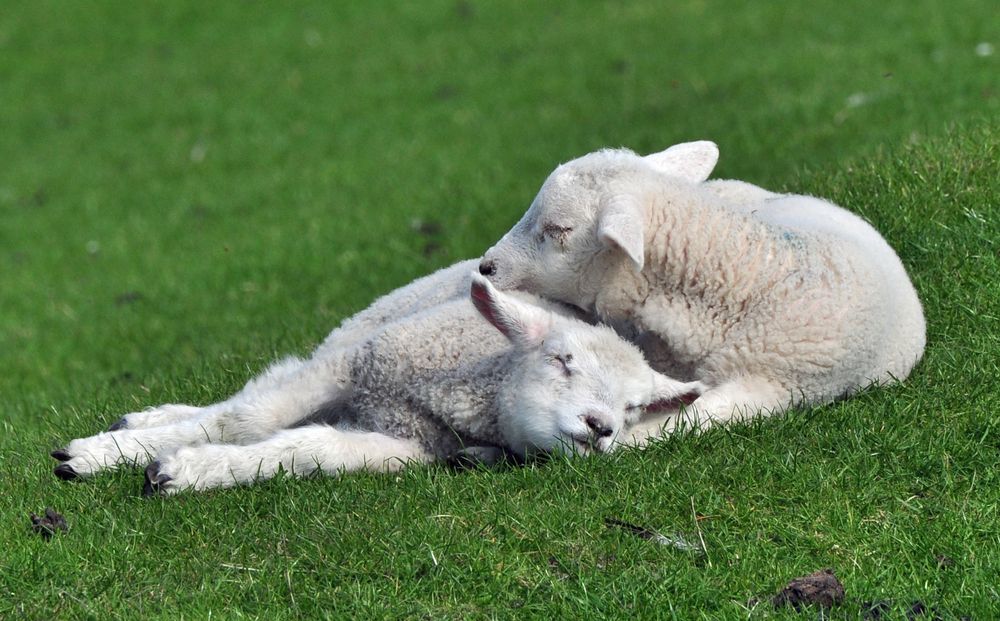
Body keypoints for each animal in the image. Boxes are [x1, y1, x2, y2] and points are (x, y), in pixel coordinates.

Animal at [48, 266, 704, 494]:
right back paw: (144, 424)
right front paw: (105, 456)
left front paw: (193, 470)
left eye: (633, 409)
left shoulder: (408, 447)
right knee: (260, 388)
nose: (601, 427)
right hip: (356, 331)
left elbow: (310, 448)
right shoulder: (354, 365)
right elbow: (250, 416)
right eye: (561, 359)